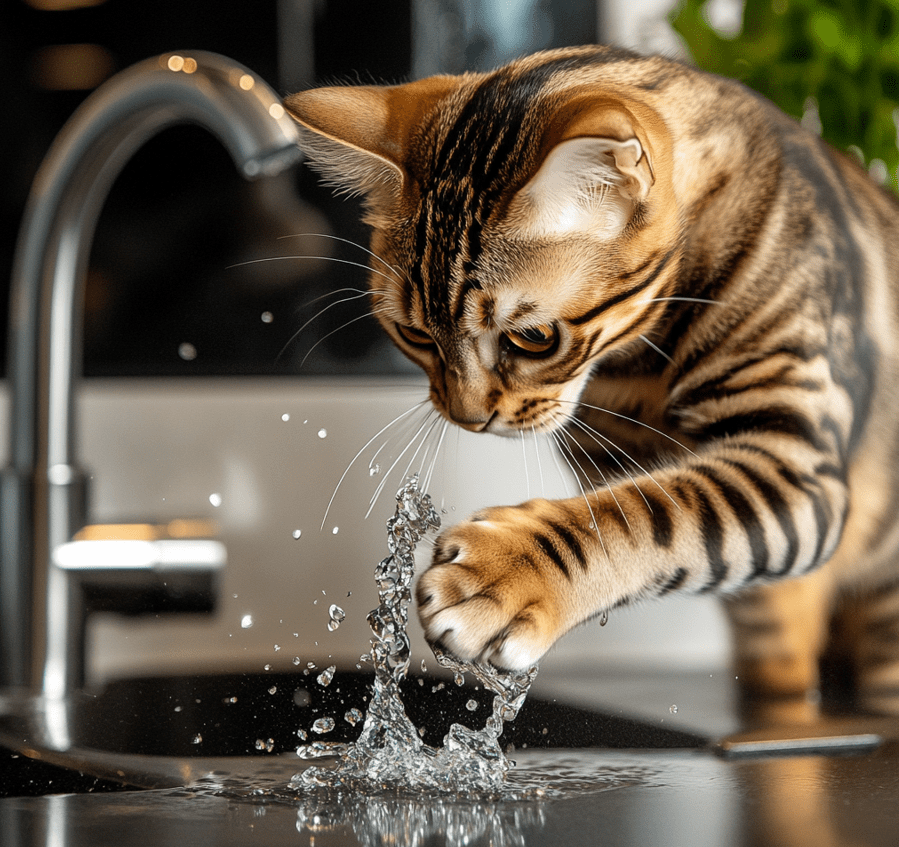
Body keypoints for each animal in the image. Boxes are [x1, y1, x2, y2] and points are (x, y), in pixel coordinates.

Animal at [286, 43, 899, 712]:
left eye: (533, 337)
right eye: (416, 335)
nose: (468, 418)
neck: (645, 357)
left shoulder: (795, 461)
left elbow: (643, 515)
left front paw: (505, 573)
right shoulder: (611, 450)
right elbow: (632, 496)